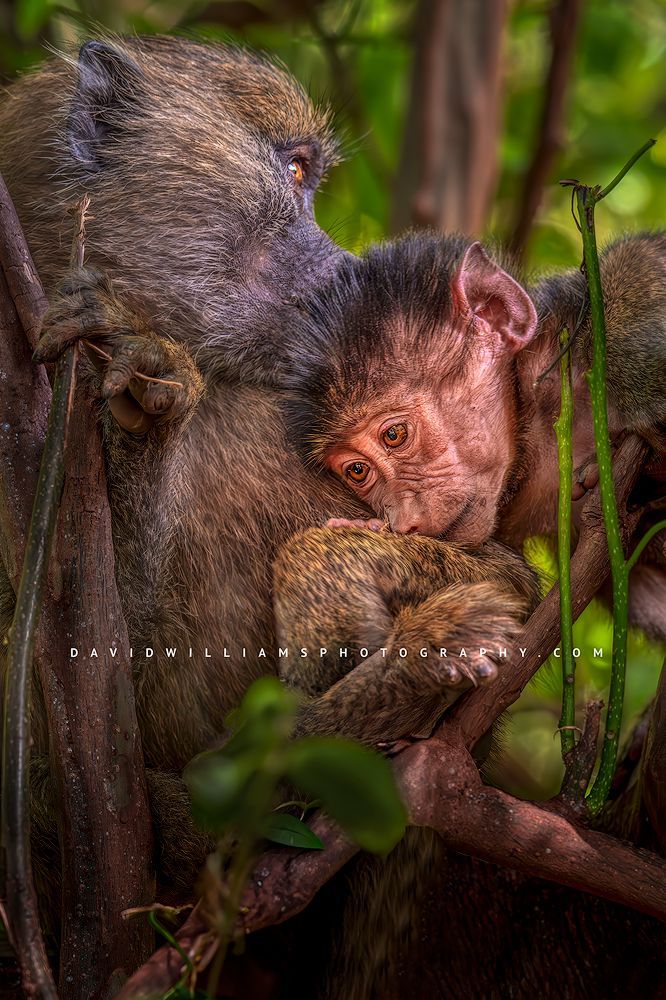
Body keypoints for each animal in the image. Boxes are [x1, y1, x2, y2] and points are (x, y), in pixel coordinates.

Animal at [278, 232, 666, 638]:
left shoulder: (556, 353)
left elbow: (645, 251)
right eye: (357, 470)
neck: (536, 436)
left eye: (395, 435)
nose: (403, 521)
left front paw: (633, 375)